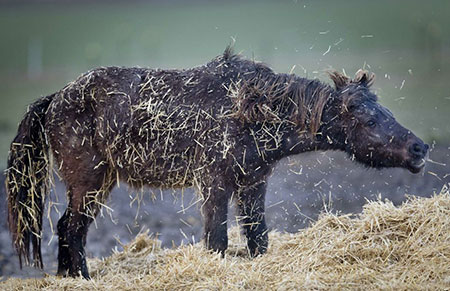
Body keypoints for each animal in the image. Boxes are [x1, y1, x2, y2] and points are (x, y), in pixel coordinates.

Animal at [7, 46, 428, 280]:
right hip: (89, 181)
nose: (420, 149)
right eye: (369, 121)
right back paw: (82, 277)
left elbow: (258, 239)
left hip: (99, 181)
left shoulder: (253, 183)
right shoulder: (214, 184)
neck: (250, 108)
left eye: (386, 112)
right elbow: (217, 241)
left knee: (68, 227)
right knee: (72, 228)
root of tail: (56, 98)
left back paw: (68, 276)